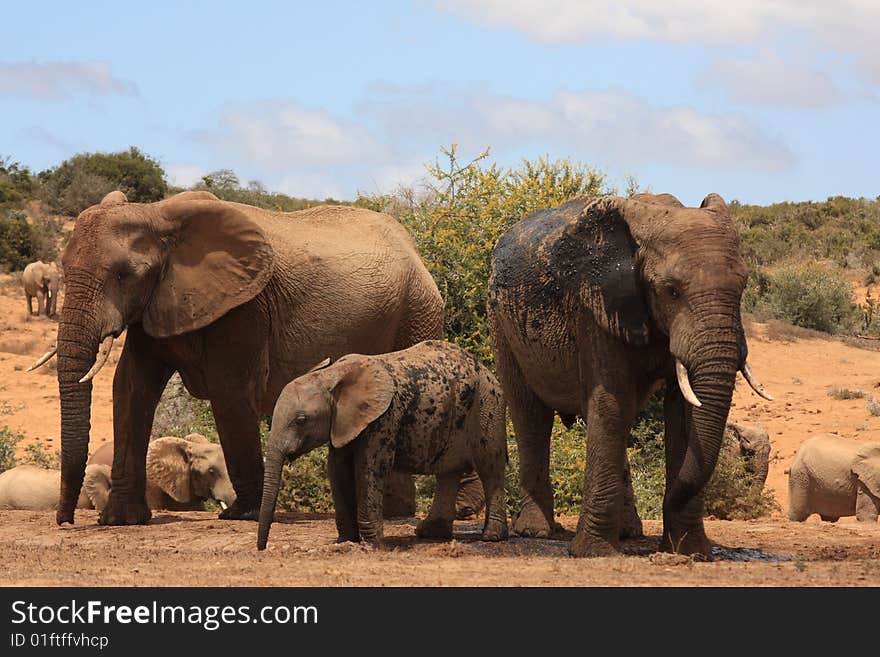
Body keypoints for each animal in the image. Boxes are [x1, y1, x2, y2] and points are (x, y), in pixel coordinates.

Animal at [492, 192, 772, 556]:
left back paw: (628, 533)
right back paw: (536, 531)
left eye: (742, 286)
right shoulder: (595, 308)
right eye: (671, 291)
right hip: (501, 323)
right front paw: (594, 553)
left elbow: (683, 413)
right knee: (530, 416)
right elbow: (613, 402)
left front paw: (690, 552)